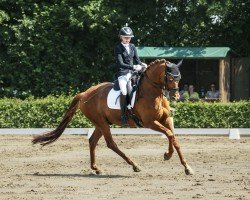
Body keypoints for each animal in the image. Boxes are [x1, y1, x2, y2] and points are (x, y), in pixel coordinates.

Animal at [32, 59, 194, 175]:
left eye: (179, 77)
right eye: (170, 77)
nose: (176, 96)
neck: (152, 92)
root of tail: (84, 94)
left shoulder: (165, 119)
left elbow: (173, 137)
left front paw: (186, 167)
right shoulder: (150, 122)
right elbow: (169, 134)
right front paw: (168, 155)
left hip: (101, 123)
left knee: (92, 141)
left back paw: (96, 168)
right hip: (102, 124)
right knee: (111, 144)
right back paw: (134, 165)